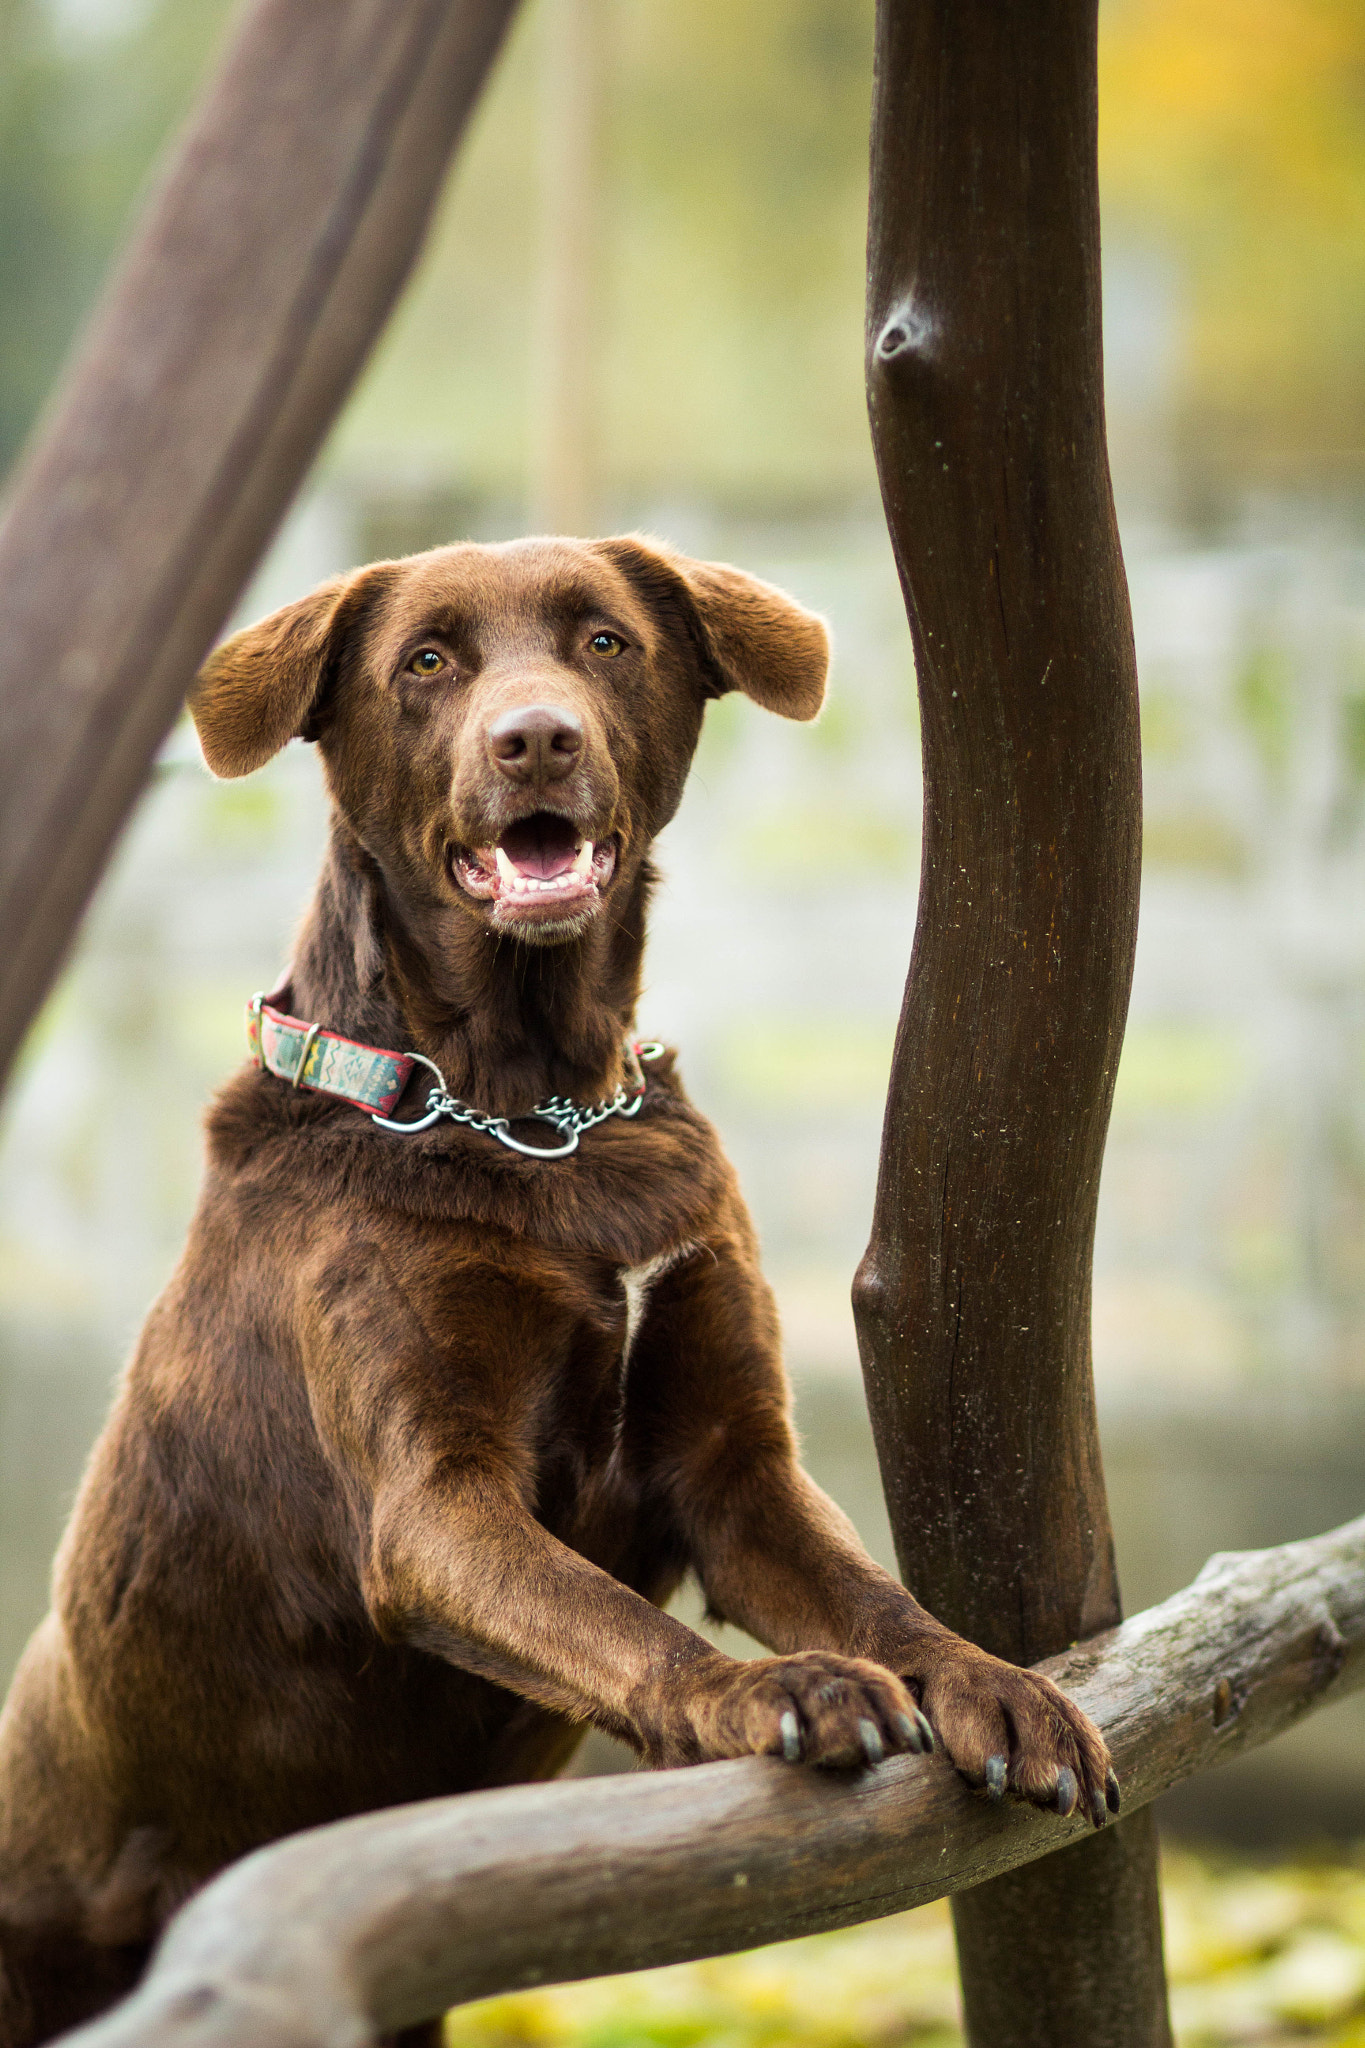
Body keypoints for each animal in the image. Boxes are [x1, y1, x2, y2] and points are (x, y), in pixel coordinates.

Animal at [0, 540, 1113, 2048]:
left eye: (603, 640)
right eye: (425, 661)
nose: (535, 739)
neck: (535, 1112)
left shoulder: (734, 1469)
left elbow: (877, 1597)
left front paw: (1001, 1686)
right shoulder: (436, 1506)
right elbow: (612, 1619)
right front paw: (768, 1687)